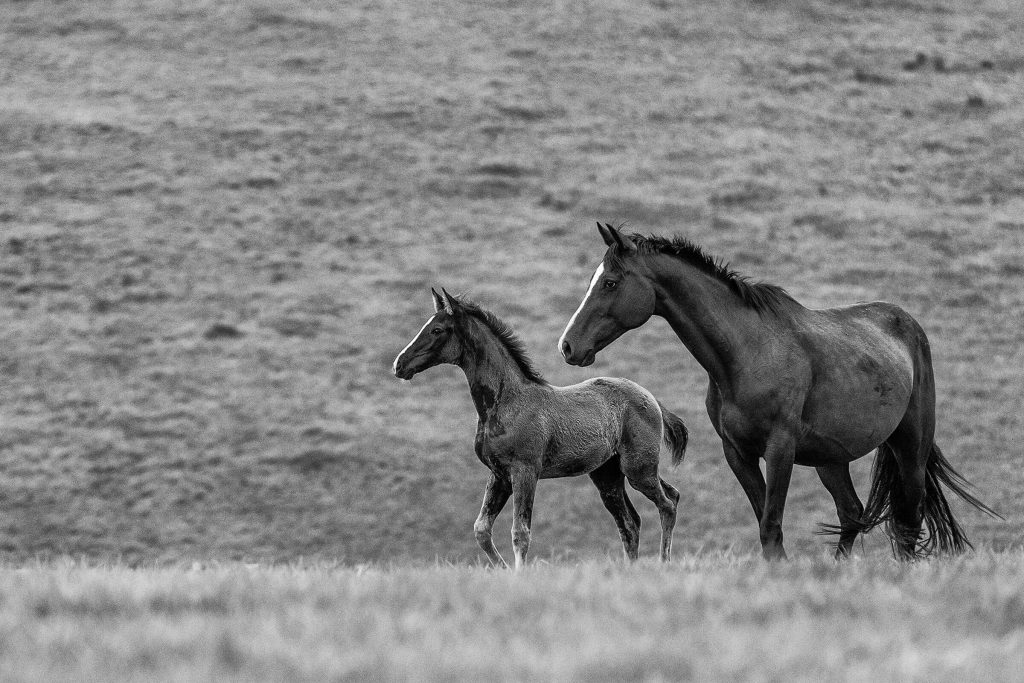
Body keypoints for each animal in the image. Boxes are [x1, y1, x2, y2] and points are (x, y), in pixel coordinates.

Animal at [393, 288, 689, 569]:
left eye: (437, 330)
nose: (399, 364)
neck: (505, 402)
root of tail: (652, 399)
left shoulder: (525, 471)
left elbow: (520, 532)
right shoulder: (499, 475)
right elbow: (481, 530)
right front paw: (502, 570)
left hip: (638, 468)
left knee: (668, 502)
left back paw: (664, 562)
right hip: (608, 475)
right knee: (631, 522)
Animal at [558, 222, 999, 561]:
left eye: (611, 282)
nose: (568, 346)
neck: (747, 353)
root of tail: (908, 325)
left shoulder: (779, 449)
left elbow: (771, 525)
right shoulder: (737, 452)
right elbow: (766, 525)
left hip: (910, 446)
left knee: (908, 519)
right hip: (830, 459)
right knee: (852, 513)